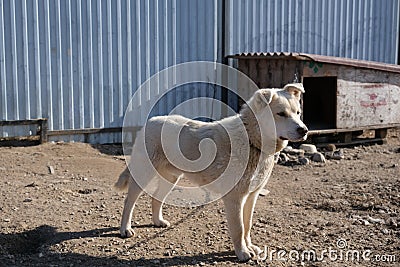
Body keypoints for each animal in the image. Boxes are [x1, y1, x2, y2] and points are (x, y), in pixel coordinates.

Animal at [115, 83, 310, 262]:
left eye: (298, 113)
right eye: (281, 114)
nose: (304, 130)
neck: (252, 140)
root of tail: (150, 121)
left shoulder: (251, 196)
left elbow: (247, 225)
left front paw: (250, 247)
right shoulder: (235, 198)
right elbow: (239, 228)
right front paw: (242, 253)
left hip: (171, 178)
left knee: (156, 198)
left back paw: (158, 221)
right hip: (143, 174)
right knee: (129, 201)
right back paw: (125, 229)